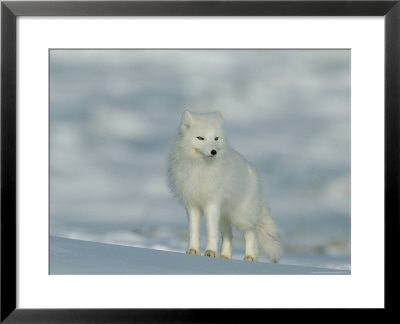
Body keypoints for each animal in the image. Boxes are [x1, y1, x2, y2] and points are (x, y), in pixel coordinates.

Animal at [167, 111, 280, 264]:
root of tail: (255, 174)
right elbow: (193, 230)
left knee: (251, 233)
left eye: (216, 138)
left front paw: (210, 251)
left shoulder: (212, 203)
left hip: (240, 215)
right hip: (224, 216)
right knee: (229, 234)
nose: (213, 151)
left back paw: (250, 257)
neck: (199, 168)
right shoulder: (192, 204)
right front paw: (193, 250)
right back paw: (226, 256)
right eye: (200, 138)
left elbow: (212, 232)